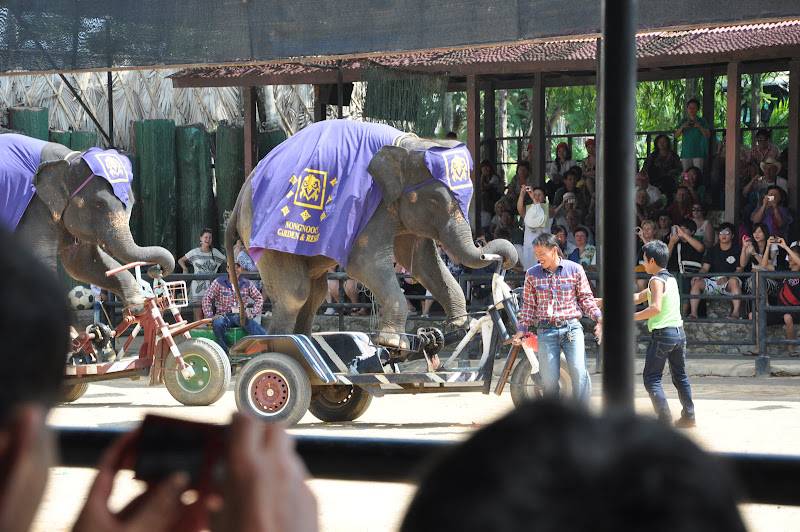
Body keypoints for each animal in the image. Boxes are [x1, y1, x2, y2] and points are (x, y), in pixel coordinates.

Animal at [0, 133, 175, 308]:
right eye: (98, 205)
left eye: (131, 203)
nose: (156, 270)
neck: (68, 159)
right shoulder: (35, 209)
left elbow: (83, 263)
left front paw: (137, 306)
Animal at [228, 119, 520, 350]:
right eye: (435, 200)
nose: (502, 258)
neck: (406, 145)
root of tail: (240, 195)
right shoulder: (370, 203)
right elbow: (364, 262)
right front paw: (393, 343)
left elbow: (422, 261)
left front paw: (462, 327)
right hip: (268, 235)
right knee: (296, 293)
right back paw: (280, 346)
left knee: (315, 293)